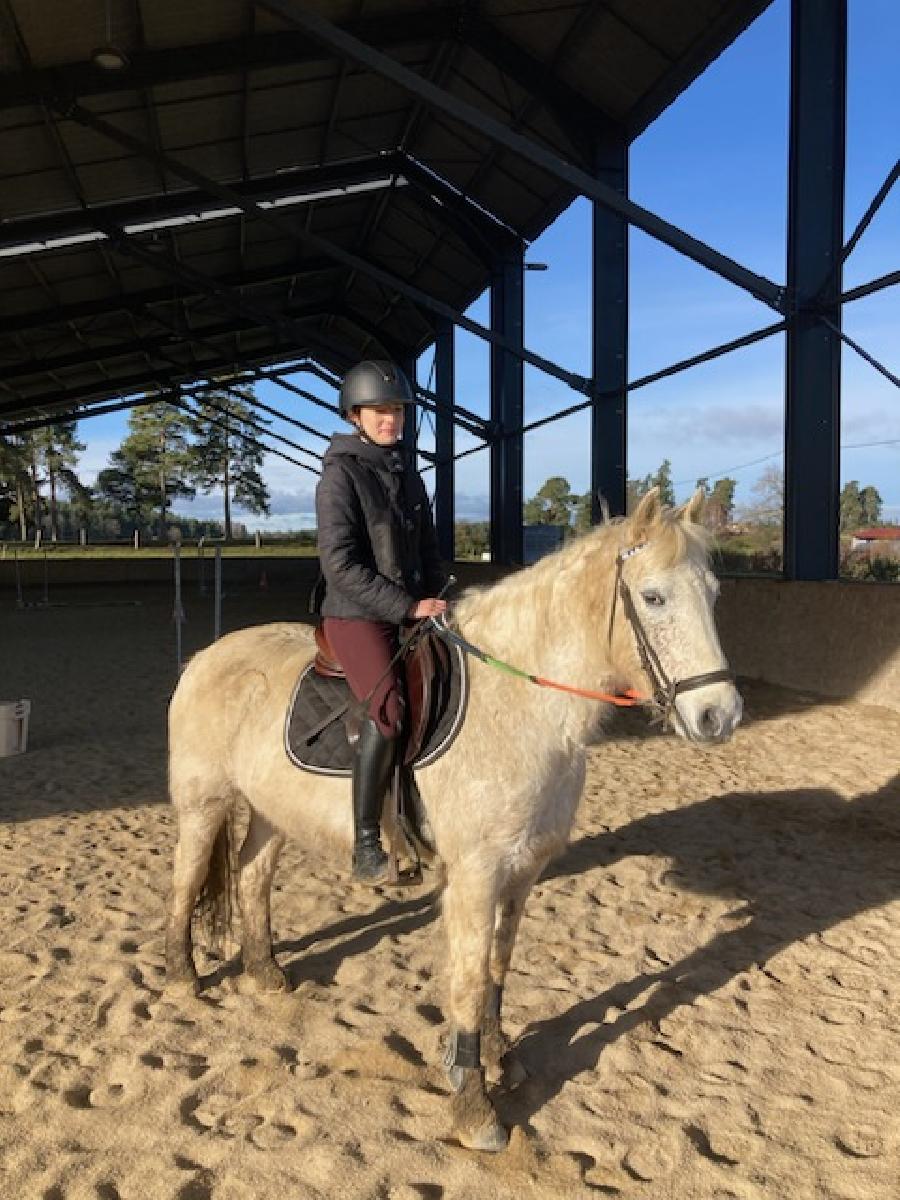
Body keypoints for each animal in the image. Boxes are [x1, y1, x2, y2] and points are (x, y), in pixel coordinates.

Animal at [164, 488, 742, 1151]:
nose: (719, 715)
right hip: (203, 802)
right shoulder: (475, 873)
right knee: (185, 881)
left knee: (252, 876)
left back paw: (265, 972)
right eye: (653, 597)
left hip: (269, 811)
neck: (519, 707)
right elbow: (467, 981)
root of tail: (207, 655)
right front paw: (473, 1106)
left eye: (714, 594)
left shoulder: (522, 870)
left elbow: (497, 967)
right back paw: (181, 976)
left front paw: (496, 1057)